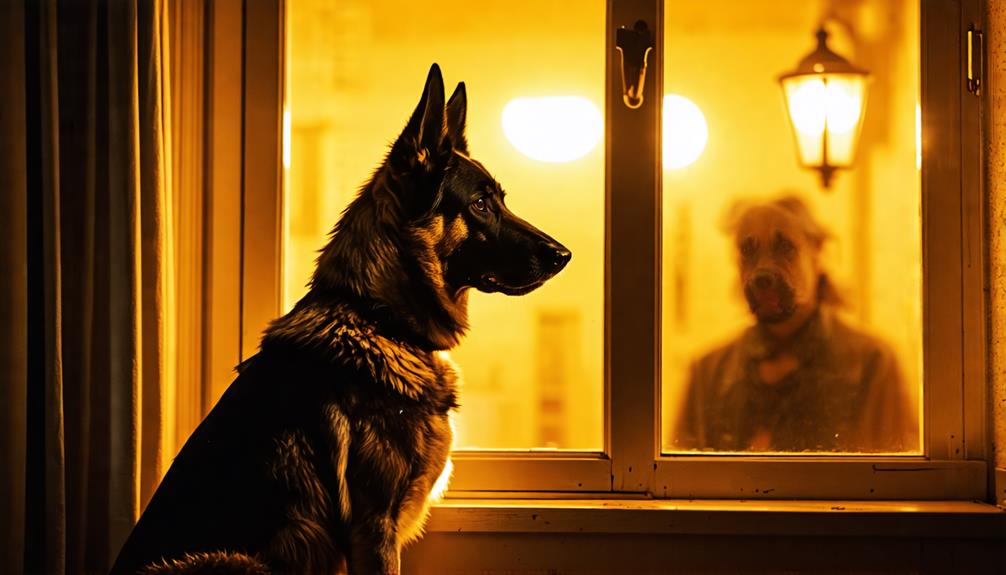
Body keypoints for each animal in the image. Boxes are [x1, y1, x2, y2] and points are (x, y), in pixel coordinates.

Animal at [111, 65, 571, 570]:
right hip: (237, 560)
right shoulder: (373, 527)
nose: (563, 256)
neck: (379, 319)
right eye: (481, 205)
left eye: (501, 200)